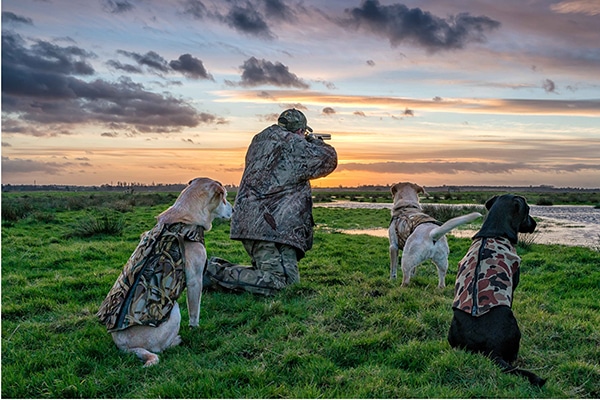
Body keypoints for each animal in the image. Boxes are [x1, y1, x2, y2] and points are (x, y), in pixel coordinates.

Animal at [96, 177, 232, 366]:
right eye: (224, 197)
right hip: (174, 310)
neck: (185, 218)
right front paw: (195, 329)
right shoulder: (195, 280)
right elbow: (194, 311)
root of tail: (126, 348)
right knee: (161, 348)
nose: (233, 210)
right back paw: (177, 340)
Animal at [450, 194, 544, 388]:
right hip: (513, 323)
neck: (493, 231)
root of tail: (490, 350)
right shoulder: (514, 280)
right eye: (528, 210)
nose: (535, 224)